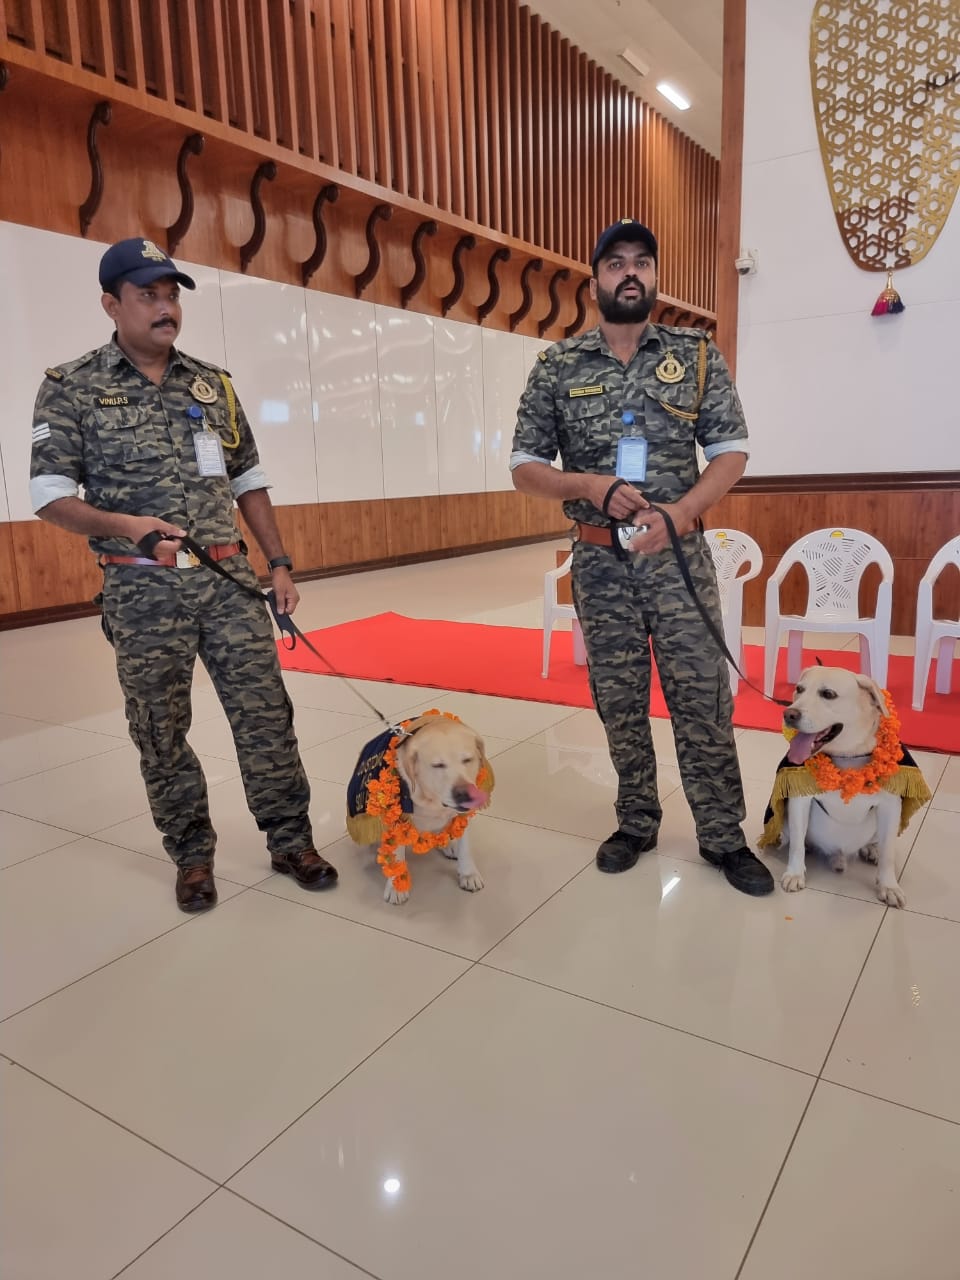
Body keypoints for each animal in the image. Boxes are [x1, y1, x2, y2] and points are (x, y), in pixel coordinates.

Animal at [346, 712, 493, 905]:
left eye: (467, 760)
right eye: (437, 765)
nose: (464, 793)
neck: (431, 800)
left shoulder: (462, 814)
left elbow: (465, 846)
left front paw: (468, 873)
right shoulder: (396, 819)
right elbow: (397, 855)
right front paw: (396, 886)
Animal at [758, 667, 931, 908]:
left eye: (828, 694)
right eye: (799, 689)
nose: (789, 714)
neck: (847, 756)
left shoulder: (890, 805)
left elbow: (888, 853)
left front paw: (889, 886)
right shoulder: (799, 799)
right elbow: (797, 845)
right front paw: (794, 873)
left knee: (878, 843)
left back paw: (871, 849)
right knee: (796, 837)